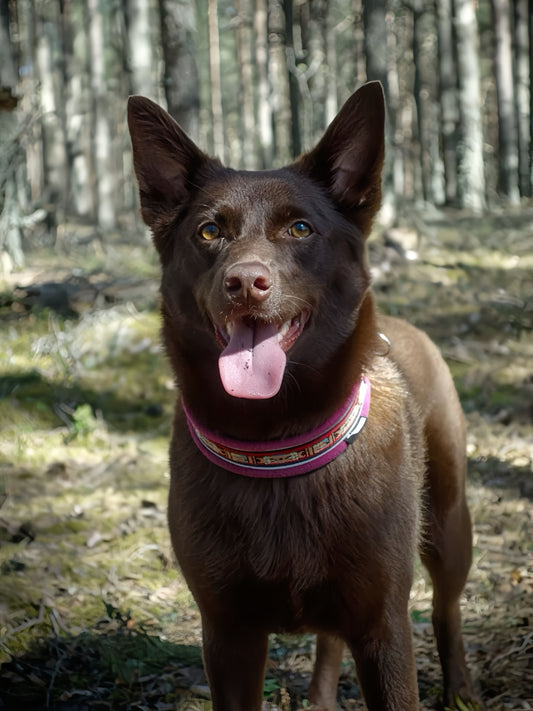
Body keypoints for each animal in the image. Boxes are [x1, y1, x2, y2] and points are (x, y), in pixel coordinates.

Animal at [127, 85, 476, 711]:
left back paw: (461, 688)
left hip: (449, 525)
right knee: (330, 641)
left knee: (447, 608)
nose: (245, 283)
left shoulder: (384, 629)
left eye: (300, 230)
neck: (277, 443)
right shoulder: (228, 635)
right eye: (209, 232)